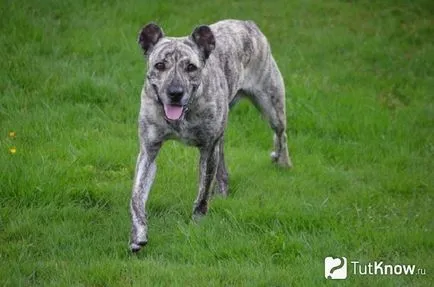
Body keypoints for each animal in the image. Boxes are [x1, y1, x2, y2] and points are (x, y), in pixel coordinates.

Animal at [129, 19, 292, 252]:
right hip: (223, 133)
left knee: (281, 134)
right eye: (160, 65)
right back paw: (223, 190)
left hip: (270, 103)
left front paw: (197, 221)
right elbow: (136, 196)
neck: (182, 115)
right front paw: (138, 234)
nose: (175, 92)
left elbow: (203, 192)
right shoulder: (148, 152)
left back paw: (282, 161)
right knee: (223, 164)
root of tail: (247, 24)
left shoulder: (207, 149)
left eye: (191, 67)